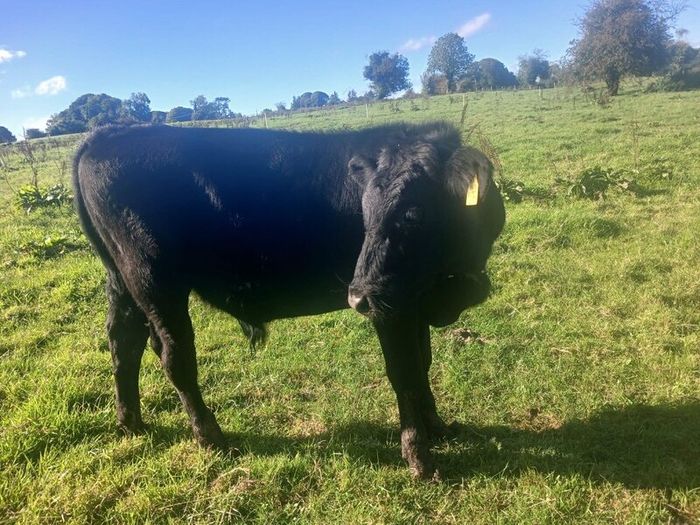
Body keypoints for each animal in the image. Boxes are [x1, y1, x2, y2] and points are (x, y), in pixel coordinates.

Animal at [73, 122, 505, 479]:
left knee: (123, 344)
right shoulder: (389, 307)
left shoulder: (413, 302)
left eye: (414, 214)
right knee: (173, 356)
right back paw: (211, 437)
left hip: (121, 282)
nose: (355, 295)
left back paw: (131, 422)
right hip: (154, 282)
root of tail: (108, 134)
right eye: (363, 215)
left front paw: (438, 427)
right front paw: (419, 455)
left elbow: (423, 363)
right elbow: (405, 372)